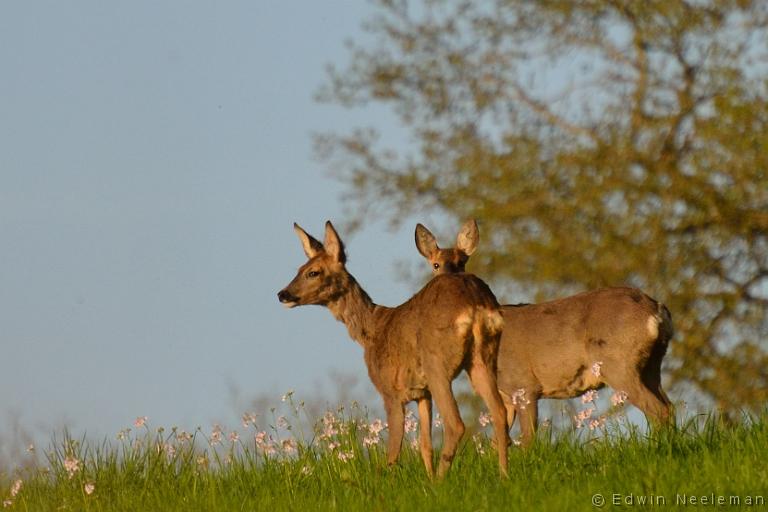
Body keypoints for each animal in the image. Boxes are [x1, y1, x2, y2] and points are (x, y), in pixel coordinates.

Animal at [276, 222, 510, 478]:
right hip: (483, 357)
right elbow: (425, 445)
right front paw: (427, 480)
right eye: (300, 268)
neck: (372, 330)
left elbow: (393, 452)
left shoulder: (389, 390)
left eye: (313, 272)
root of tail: (475, 303)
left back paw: (443, 480)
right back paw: (503, 475)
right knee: (500, 411)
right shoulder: (422, 392)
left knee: (456, 424)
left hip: (437, 364)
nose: (282, 294)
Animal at [416, 219, 676, 444]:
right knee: (669, 407)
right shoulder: (506, 395)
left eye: (462, 262)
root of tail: (656, 310)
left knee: (658, 410)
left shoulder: (524, 384)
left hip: (618, 363)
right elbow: (498, 441)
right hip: (651, 365)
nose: (448, 283)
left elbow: (527, 439)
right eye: (435, 264)